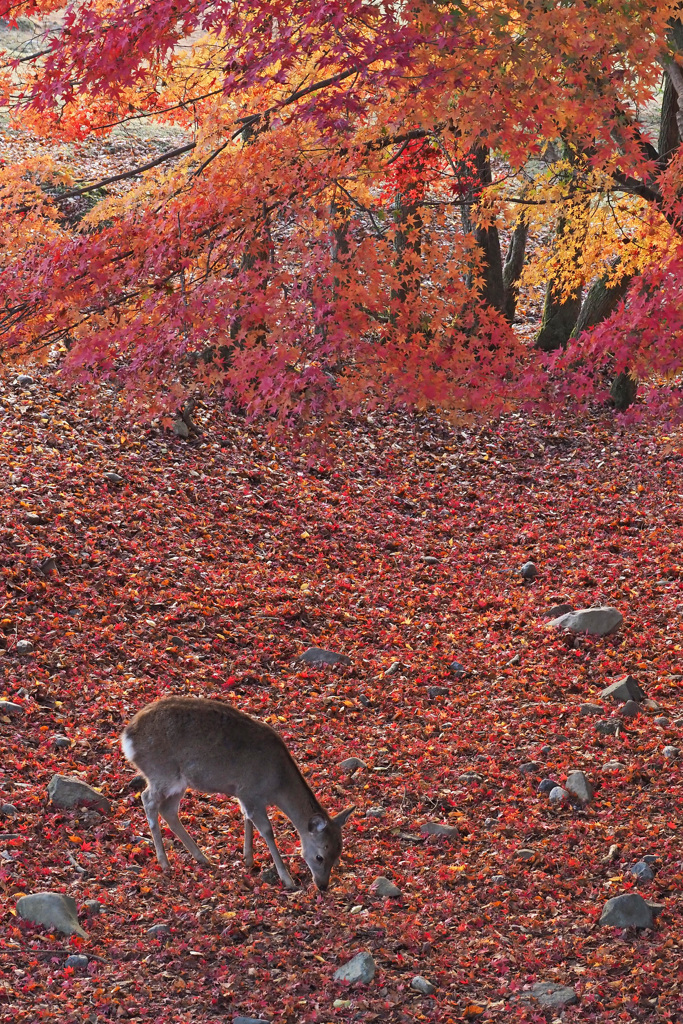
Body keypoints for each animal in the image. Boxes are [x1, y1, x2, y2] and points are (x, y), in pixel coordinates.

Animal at [120, 696, 356, 888]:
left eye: (338, 854)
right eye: (320, 856)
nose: (323, 885)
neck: (276, 783)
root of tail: (127, 738)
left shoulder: (244, 795)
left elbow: (246, 819)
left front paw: (248, 859)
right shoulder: (251, 792)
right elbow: (267, 830)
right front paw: (287, 879)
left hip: (179, 782)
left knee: (168, 810)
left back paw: (202, 857)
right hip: (162, 773)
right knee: (148, 799)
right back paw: (164, 862)